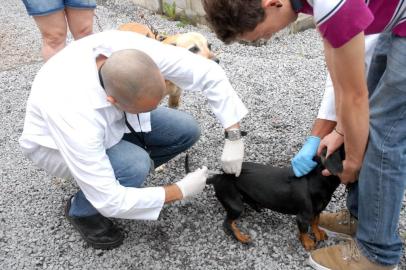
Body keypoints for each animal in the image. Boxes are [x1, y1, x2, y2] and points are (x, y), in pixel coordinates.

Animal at [198, 148, 344, 251]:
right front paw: (307, 242)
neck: (314, 179)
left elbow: (315, 222)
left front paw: (318, 233)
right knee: (227, 223)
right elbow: (304, 230)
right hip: (235, 205)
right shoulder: (303, 215)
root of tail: (217, 176)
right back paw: (241, 237)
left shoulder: (317, 210)